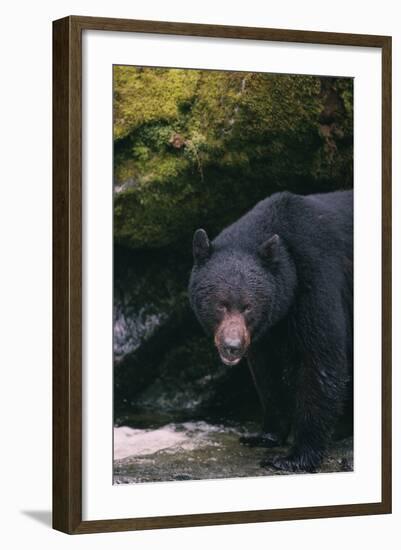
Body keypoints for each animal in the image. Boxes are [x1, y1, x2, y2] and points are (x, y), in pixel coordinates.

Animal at [189, 192, 352, 472]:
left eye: (248, 306)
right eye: (220, 304)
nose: (232, 346)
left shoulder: (317, 278)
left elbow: (320, 358)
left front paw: (294, 457)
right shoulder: (270, 327)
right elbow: (268, 371)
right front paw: (264, 435)